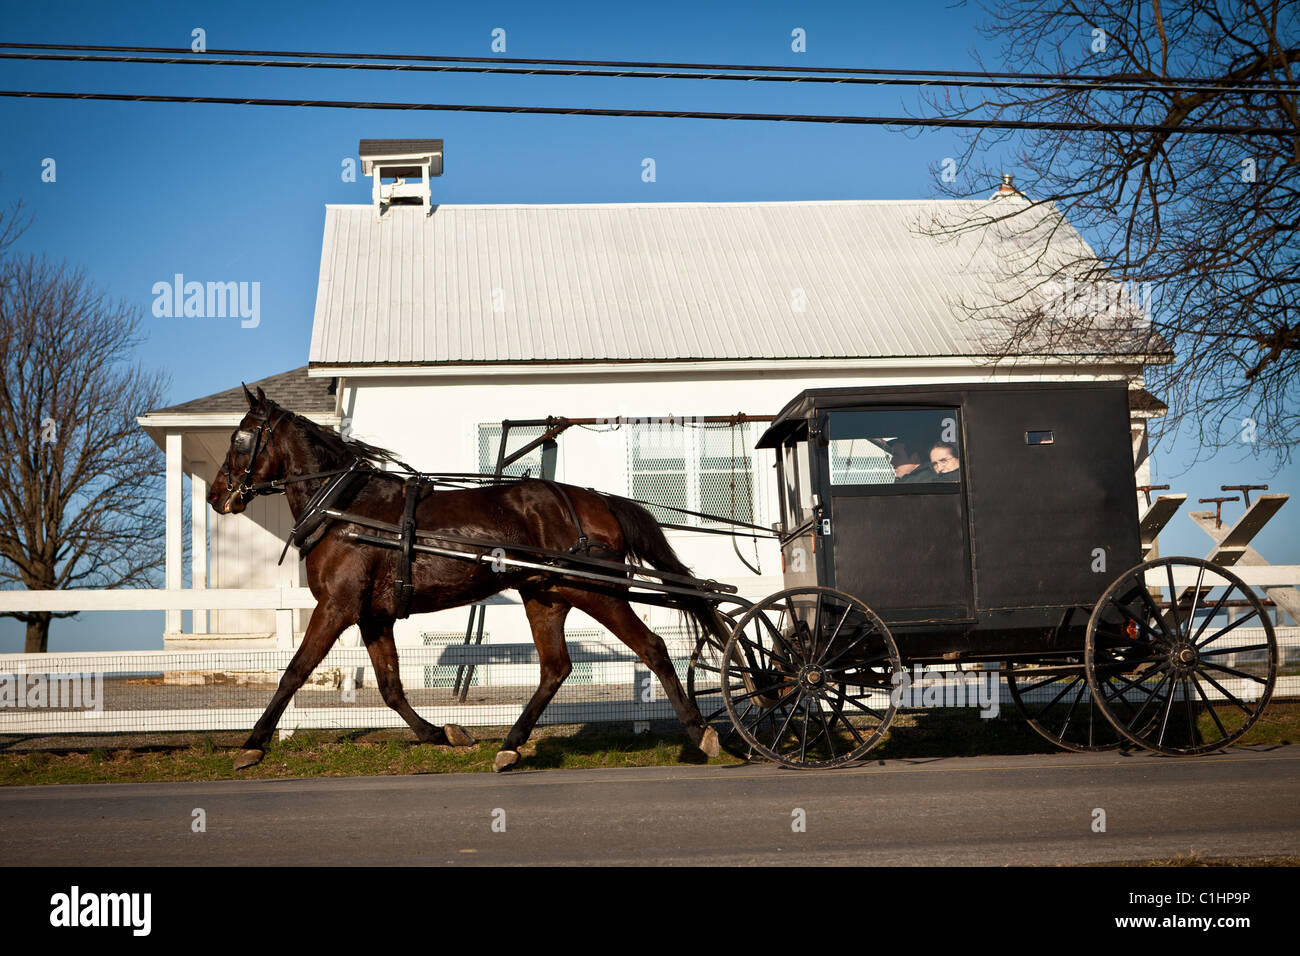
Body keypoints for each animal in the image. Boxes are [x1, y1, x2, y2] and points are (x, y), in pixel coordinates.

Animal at [208, 387, 728, 770]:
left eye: (239, 438)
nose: (216, 495)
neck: (346, 510)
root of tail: (596, 500)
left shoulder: (337, 606)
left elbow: (294, 671)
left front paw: (252, 743)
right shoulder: (373, 617)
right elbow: (391, 687)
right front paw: (443, 733)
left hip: (595, 591)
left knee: (652, 648)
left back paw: (700, 732)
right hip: (546, 596)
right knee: (555, 668)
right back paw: (512, 744)